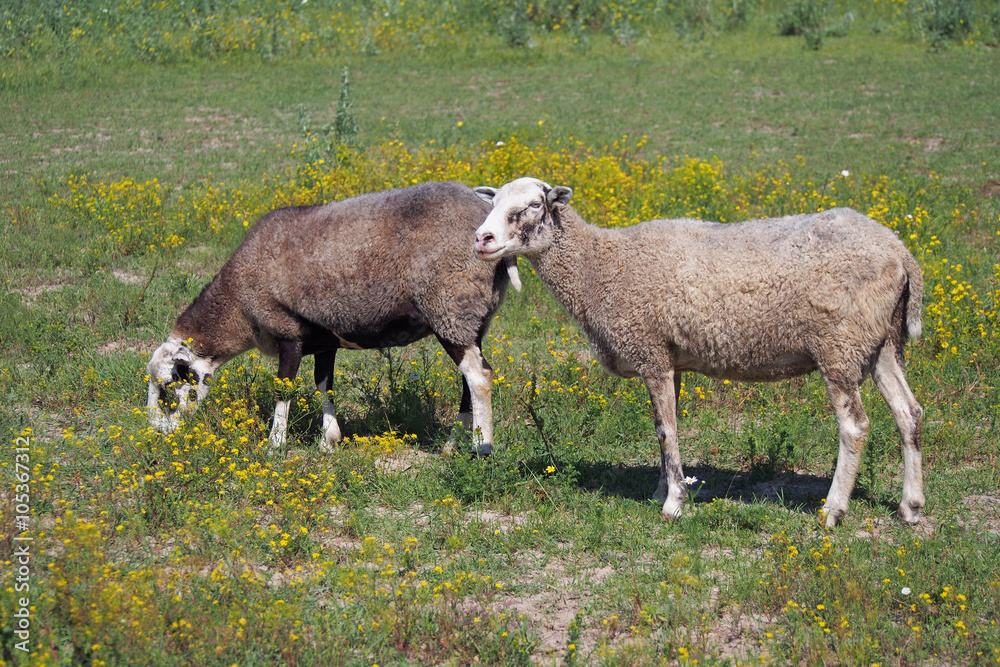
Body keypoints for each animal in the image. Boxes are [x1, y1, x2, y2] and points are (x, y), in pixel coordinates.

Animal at [147, 181, 521, 456]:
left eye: (167, 387)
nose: (157, 434)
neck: (238, 307)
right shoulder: (323, 337)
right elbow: (323, 383)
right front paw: (329, 439)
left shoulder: (288, 332)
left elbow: (284, 388)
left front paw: (274, 445)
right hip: (470, 318)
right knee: (469, 380)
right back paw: (451, 444)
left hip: (450, 306)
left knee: (479, 378)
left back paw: (479, 449)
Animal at [473, 177, 924, 528]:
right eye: (492, 203)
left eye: (533, 205)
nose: (482, 239)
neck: (601, 267)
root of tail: (901, 252)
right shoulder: (671, 360)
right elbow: (664, 428)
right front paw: (662, 490)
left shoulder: (651, 350)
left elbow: (666, 430)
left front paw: (674, 503)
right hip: (882, 342)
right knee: (909, 413)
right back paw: (911, 507)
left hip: (839, 345)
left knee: (855, 427)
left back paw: (833, 511)